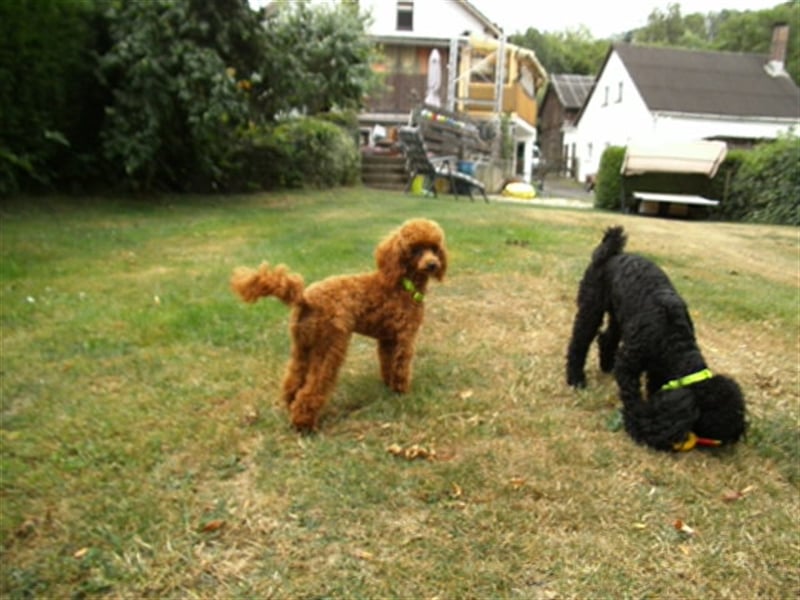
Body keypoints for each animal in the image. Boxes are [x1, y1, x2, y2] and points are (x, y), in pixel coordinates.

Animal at [564, 226, 748, 450]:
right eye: (715, 424)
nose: (732, 440)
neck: (672, 340)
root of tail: (612, 254)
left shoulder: (657, 369)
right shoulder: (629, 366)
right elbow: (632, 398)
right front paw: (636, 427)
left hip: (620, 315)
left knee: (607, 337)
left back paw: (607, 365)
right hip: (592, 306)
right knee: (580, 341)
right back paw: (576, 379)